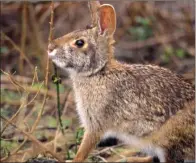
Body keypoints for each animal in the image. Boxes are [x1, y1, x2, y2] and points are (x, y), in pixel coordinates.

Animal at [47, 2, 194, 163]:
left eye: (79, 43)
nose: (50, 48)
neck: (99, 72)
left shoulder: (95, 124)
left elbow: (84, 148)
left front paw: (75, 160)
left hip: (169, 140)